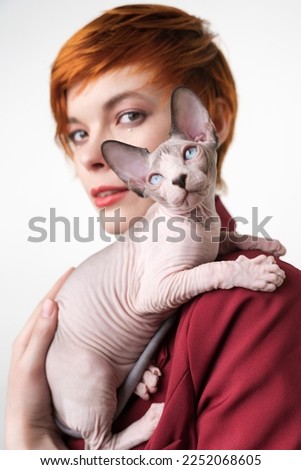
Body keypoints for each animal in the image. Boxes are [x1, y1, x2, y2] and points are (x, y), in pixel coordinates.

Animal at [45, 86, 284, 450]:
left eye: (190, 152)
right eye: (155, 179)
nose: (179, 180)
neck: (199, 220)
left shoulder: (215, 237)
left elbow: (230, 237)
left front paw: (266, 245)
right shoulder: (155, 291)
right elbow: (209, 271)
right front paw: (258, 272)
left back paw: (145, 380)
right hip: (92, 377)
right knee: (100, 445)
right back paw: (150, 420)